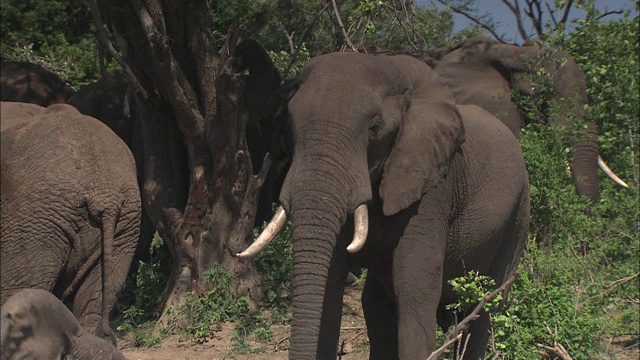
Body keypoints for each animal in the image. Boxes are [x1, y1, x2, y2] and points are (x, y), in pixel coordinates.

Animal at [240, 52, 528, 358]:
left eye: (375, 128)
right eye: (291, 126)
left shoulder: (434, 191)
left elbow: (415, 287)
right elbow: (330, 282)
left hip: (519, 215)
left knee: (489, 304)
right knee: (376, 304)